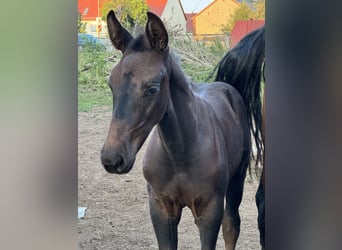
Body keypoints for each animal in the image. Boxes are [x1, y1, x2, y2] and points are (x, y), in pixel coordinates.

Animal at [101, 10, 264, 249]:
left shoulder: (208, 210)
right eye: (111, 84)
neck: (179, 153)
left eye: (152, 89)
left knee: (231, 225)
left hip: (237, 179)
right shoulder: (161, 208)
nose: (112, 159)